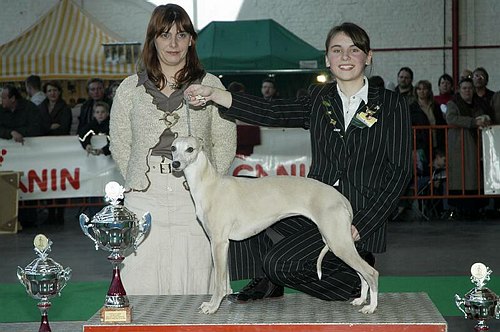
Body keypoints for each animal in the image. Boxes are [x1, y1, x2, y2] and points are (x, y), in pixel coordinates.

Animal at [170, 135, 376, 314]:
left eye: (190, 149)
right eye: (173, 148)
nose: (175, 164)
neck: (209, 184)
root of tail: (341, 197)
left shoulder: (218, 242)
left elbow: (218, 282)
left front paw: (212, 306)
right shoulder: (222, 244)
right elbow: (224, 279)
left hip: (338, 243)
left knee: (371, 272)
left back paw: (371, 307)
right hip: (337, 241)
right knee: (361, 273)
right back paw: (360, 299)